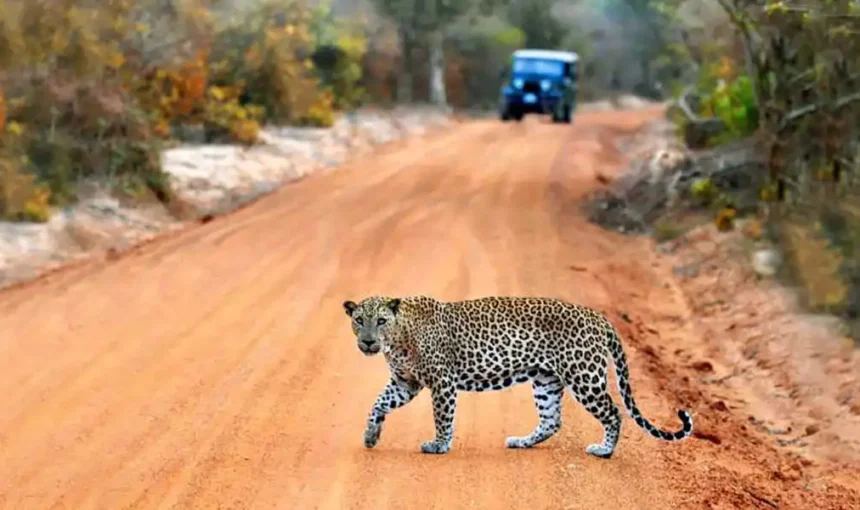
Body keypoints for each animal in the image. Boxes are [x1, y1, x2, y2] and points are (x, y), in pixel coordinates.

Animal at [340, 294, 692, 458]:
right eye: (358, 320)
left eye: (381, 320)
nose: (368, 341)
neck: (399, 338)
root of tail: (597, 316)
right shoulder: (405, 383)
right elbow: (377, 404)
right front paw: (371, 436)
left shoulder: (442, 382)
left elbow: (442, 417)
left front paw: (439, 445)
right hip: (546, 379)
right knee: (552, 420)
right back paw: (521, 442)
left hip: (584, 376)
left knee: (614, 412)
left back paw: (604, 450)